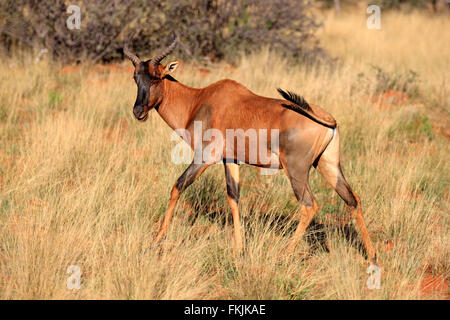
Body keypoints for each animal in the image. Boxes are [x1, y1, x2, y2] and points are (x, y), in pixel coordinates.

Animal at [123, 35, 376, 264]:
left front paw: (156, 241)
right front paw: (239, 250)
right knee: (353, 199)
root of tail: (327, 119)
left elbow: (177, 186)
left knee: (309, 206)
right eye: (136, 78)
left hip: (296, 170)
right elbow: (233, 197)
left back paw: (283, 256)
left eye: (156, 78)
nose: (138, 112)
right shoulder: (230, 159)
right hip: (328, 165)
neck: (199, 100)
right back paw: (372, 255)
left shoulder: (204, 157)